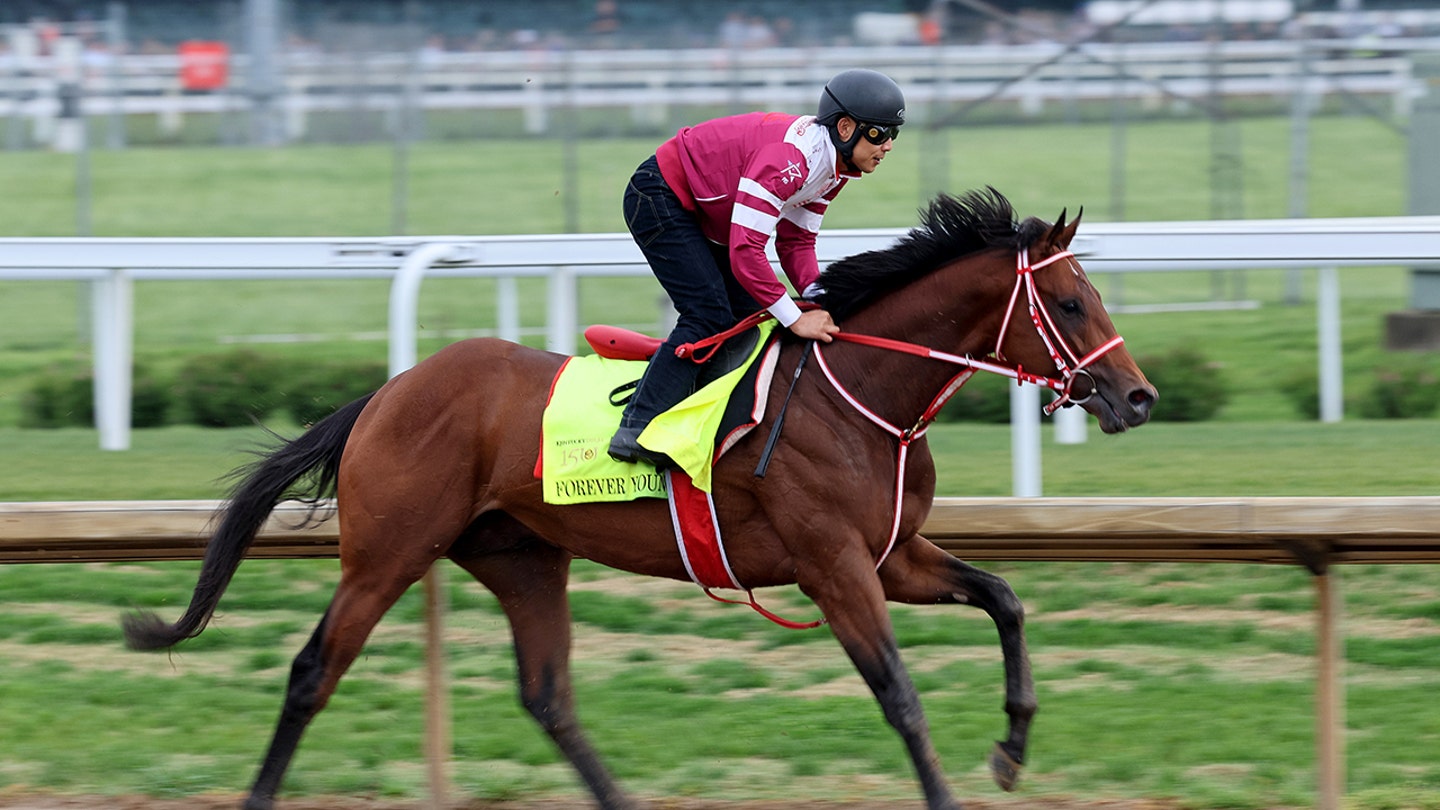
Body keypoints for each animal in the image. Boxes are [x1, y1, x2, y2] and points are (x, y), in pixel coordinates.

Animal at [123, 187, 1157, 807]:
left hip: (520, 557)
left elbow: (1005, 599)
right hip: (389, 551)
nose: (1137, 397)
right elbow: (899, 693)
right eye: (1072, 303)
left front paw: (1012, 749)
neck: (859, 393)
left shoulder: (892, 556)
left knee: (548, 696)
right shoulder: (833, 568)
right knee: (312, 671)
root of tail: (387, 393)